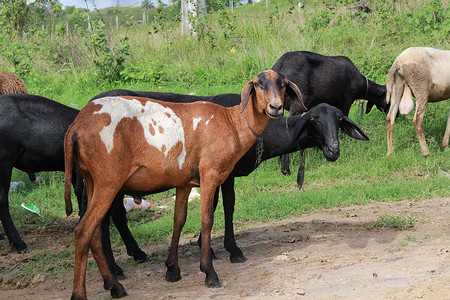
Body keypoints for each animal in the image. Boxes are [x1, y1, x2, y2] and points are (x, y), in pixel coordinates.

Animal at [64, 71, 306, 300]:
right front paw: (209, 272)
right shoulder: (210, 173)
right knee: (83, 231)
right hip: (108, 180)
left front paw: (172, 270)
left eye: (284, 84)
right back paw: (81, 293)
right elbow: (207, 219)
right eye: (257, 84)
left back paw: (115, 287)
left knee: (95, 234)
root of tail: (77, 125)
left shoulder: (184, 181)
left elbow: (178, 220)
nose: (276, 107)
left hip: (92, 179)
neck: (231, 123)